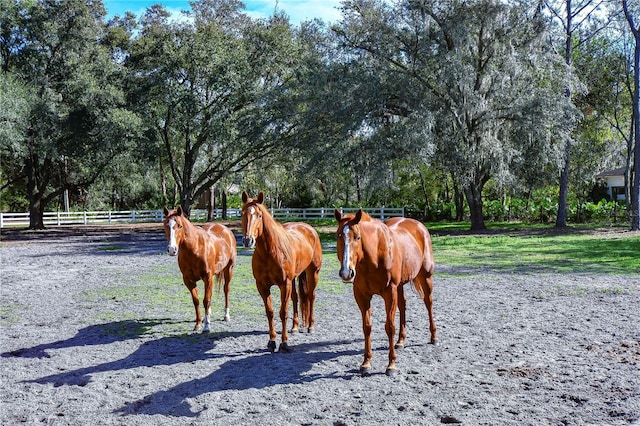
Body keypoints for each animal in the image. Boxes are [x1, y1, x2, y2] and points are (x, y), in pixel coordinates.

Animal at [240, 191, 322, 352]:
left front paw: (284, 343)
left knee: (311, 296)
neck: (270, 252)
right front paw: (272, 341)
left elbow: (283, 312)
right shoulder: (262, 286)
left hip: (313, 273)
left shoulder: (284, 284)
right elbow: (270, 312)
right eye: (242, 213)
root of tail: (309, 228)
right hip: (294, 279)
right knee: (296, 298)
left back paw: (310, 326)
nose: (248, 241)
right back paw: (295, 327)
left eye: (259, 215)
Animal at [336, 208, 436, 374]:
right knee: (403, 305)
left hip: (425, 277)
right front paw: (366, 362)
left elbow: (389, 327)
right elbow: (367, 327)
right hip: (400, 285)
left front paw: (391, 364)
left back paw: (434, 337)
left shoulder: (390, 293)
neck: (373, 259)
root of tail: (419, 226)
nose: (346, 273)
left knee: (428, 303)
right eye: (338, 235)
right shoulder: (362, 295)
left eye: (357, 237)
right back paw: (401, 341)